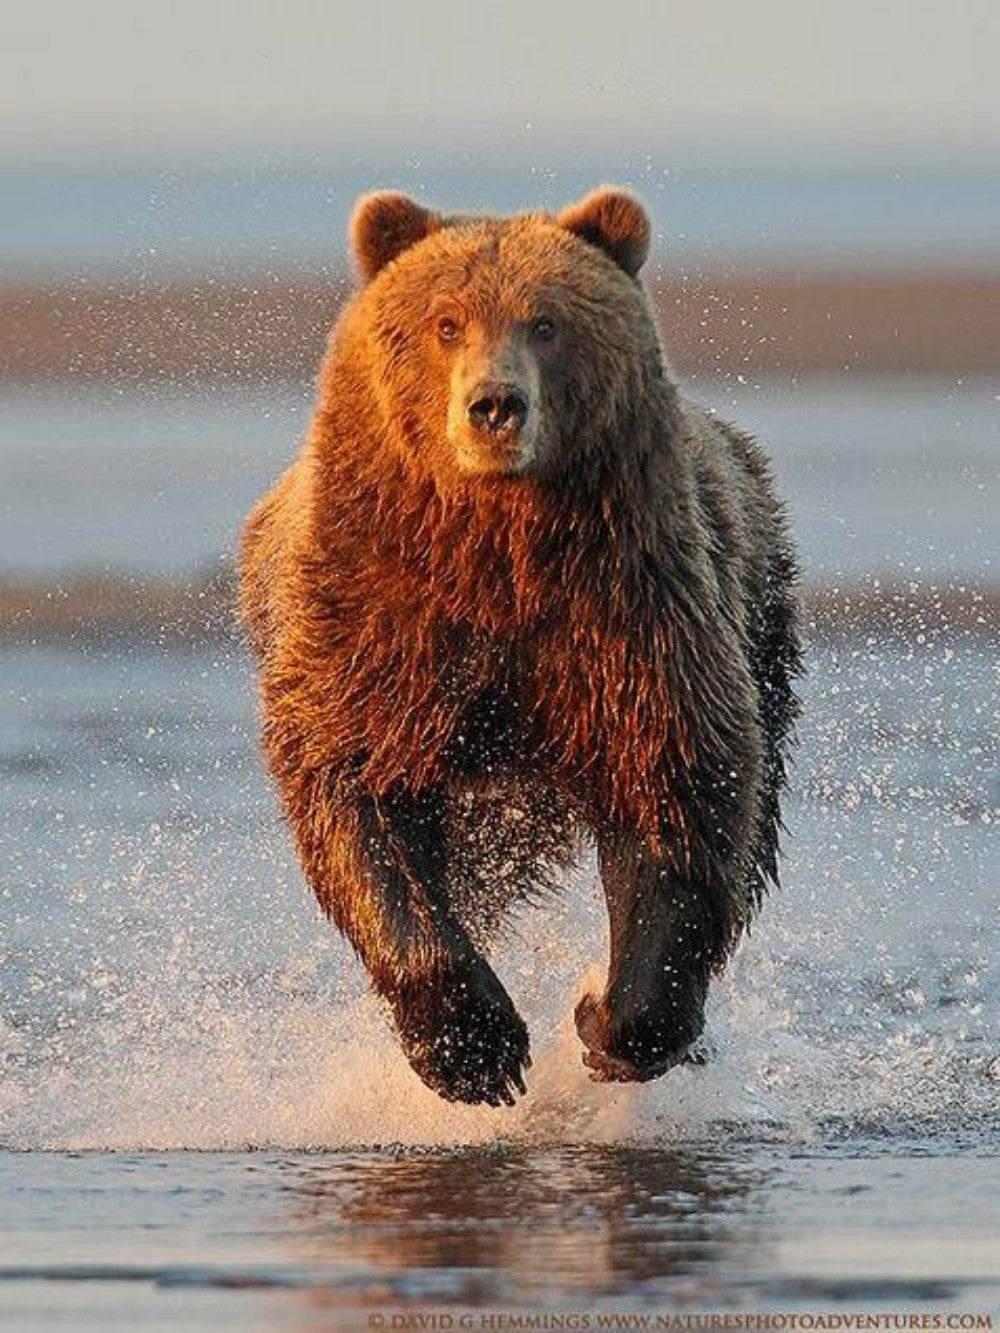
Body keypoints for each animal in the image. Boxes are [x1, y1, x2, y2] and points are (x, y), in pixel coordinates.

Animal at [239, 187, 801, 1107]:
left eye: (546, 323)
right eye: (445, 322)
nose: (495, 405)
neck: (501, 555)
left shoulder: (633, 624)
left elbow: (680, 793)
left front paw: (607, 1018)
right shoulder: (377, 626)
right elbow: (352, 796)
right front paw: (476, 1050)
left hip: (758, 614)